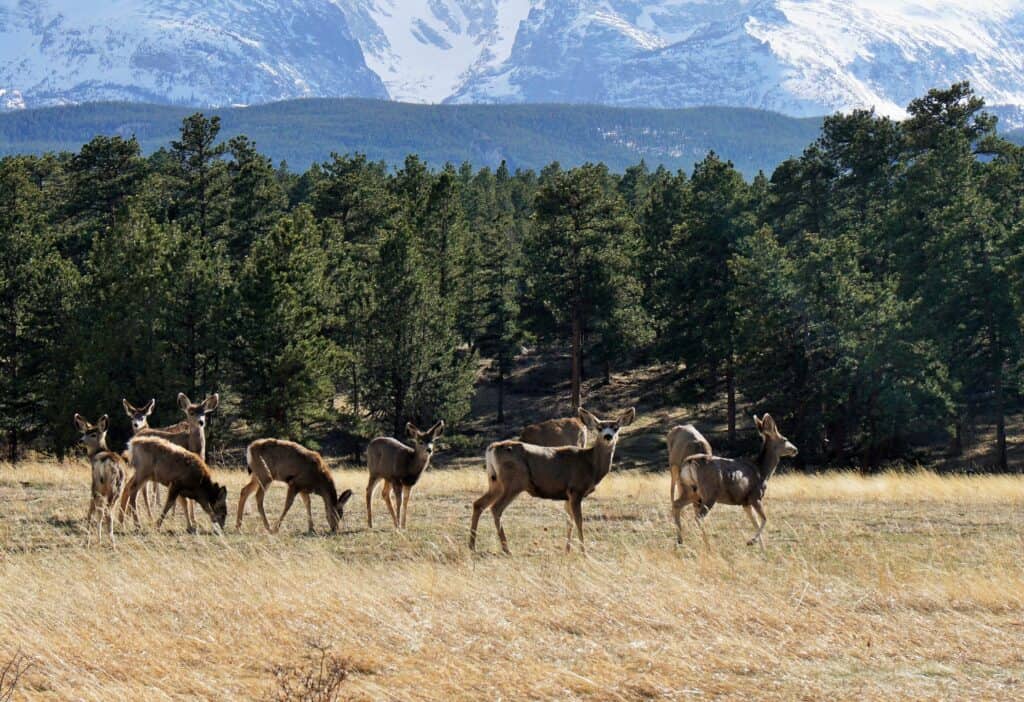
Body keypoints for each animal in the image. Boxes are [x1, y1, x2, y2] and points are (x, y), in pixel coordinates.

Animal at [74, 414, 127, 545]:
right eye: (85, 432)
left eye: (93, 434)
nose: (80, 440)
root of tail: (106, 462)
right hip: (113, 488)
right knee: (105, 511)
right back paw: (109, 540)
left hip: (98, 485)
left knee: (98, 510)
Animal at [470, 407, 636, 555]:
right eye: (600, 428)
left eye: (616, 428)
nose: (608, 436)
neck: (590, 465)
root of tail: (492, 448)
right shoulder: (576, 490)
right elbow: (579, 520)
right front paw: (584, 552)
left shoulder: (567, 495)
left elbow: (569, 520)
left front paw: (567, 550)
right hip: (514, 482)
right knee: (496, 508)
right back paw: (506, 549)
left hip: (495, 482)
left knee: (478, 504)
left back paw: (472, 546)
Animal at [672, 414, 797, 550]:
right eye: (785, 439)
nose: (795, 449)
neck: (762, 471)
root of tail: (689, 462)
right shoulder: (755, 496)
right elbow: (764, 519)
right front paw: (751, 541)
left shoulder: (745, 502)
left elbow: (756, 523)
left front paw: (762, 549)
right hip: (709, 493)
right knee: (698, 517)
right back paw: (708, 545)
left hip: (691, 491)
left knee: (676, 504)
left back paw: (680, 541)